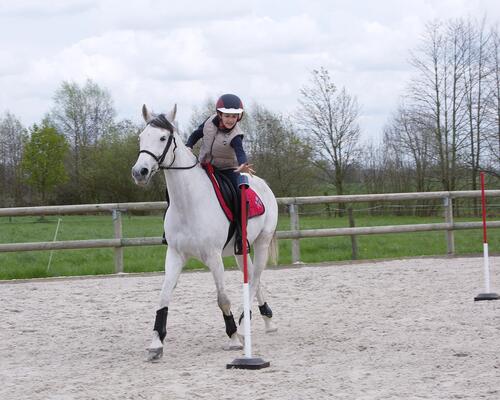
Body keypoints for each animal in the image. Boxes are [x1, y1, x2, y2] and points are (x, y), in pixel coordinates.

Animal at [131, 104, 280, 360]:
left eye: (162, 138)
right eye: (142, 137)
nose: (139, 172)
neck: (189, 203)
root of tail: (262, 184)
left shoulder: (213, 256)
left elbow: (223, 299)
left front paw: (233, 336)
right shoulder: (175, 255)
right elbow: (163, 296)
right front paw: (156, 343)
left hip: (261, 242)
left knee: (255, 278)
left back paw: (244, 326)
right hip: (241, 250)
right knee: (254, 278)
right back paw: (266, 320)